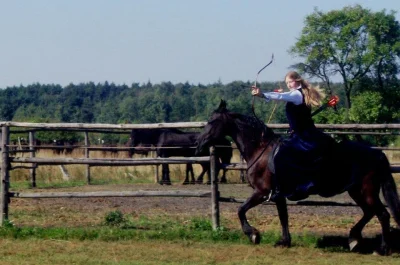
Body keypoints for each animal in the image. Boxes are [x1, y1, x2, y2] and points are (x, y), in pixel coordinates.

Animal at [196, 99, 400, 254]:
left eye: (211, 121)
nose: (198, 143)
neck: (261, 151)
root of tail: (378, 153)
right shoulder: (277, 195)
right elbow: (283, 216)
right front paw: (284, 241)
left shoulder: (262, 192)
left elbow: (241, 209)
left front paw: (253, 234)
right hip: (356, 191)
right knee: (369, 212)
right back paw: (354, 239)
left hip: (367, 191)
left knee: (382, 214)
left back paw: (382, 249)